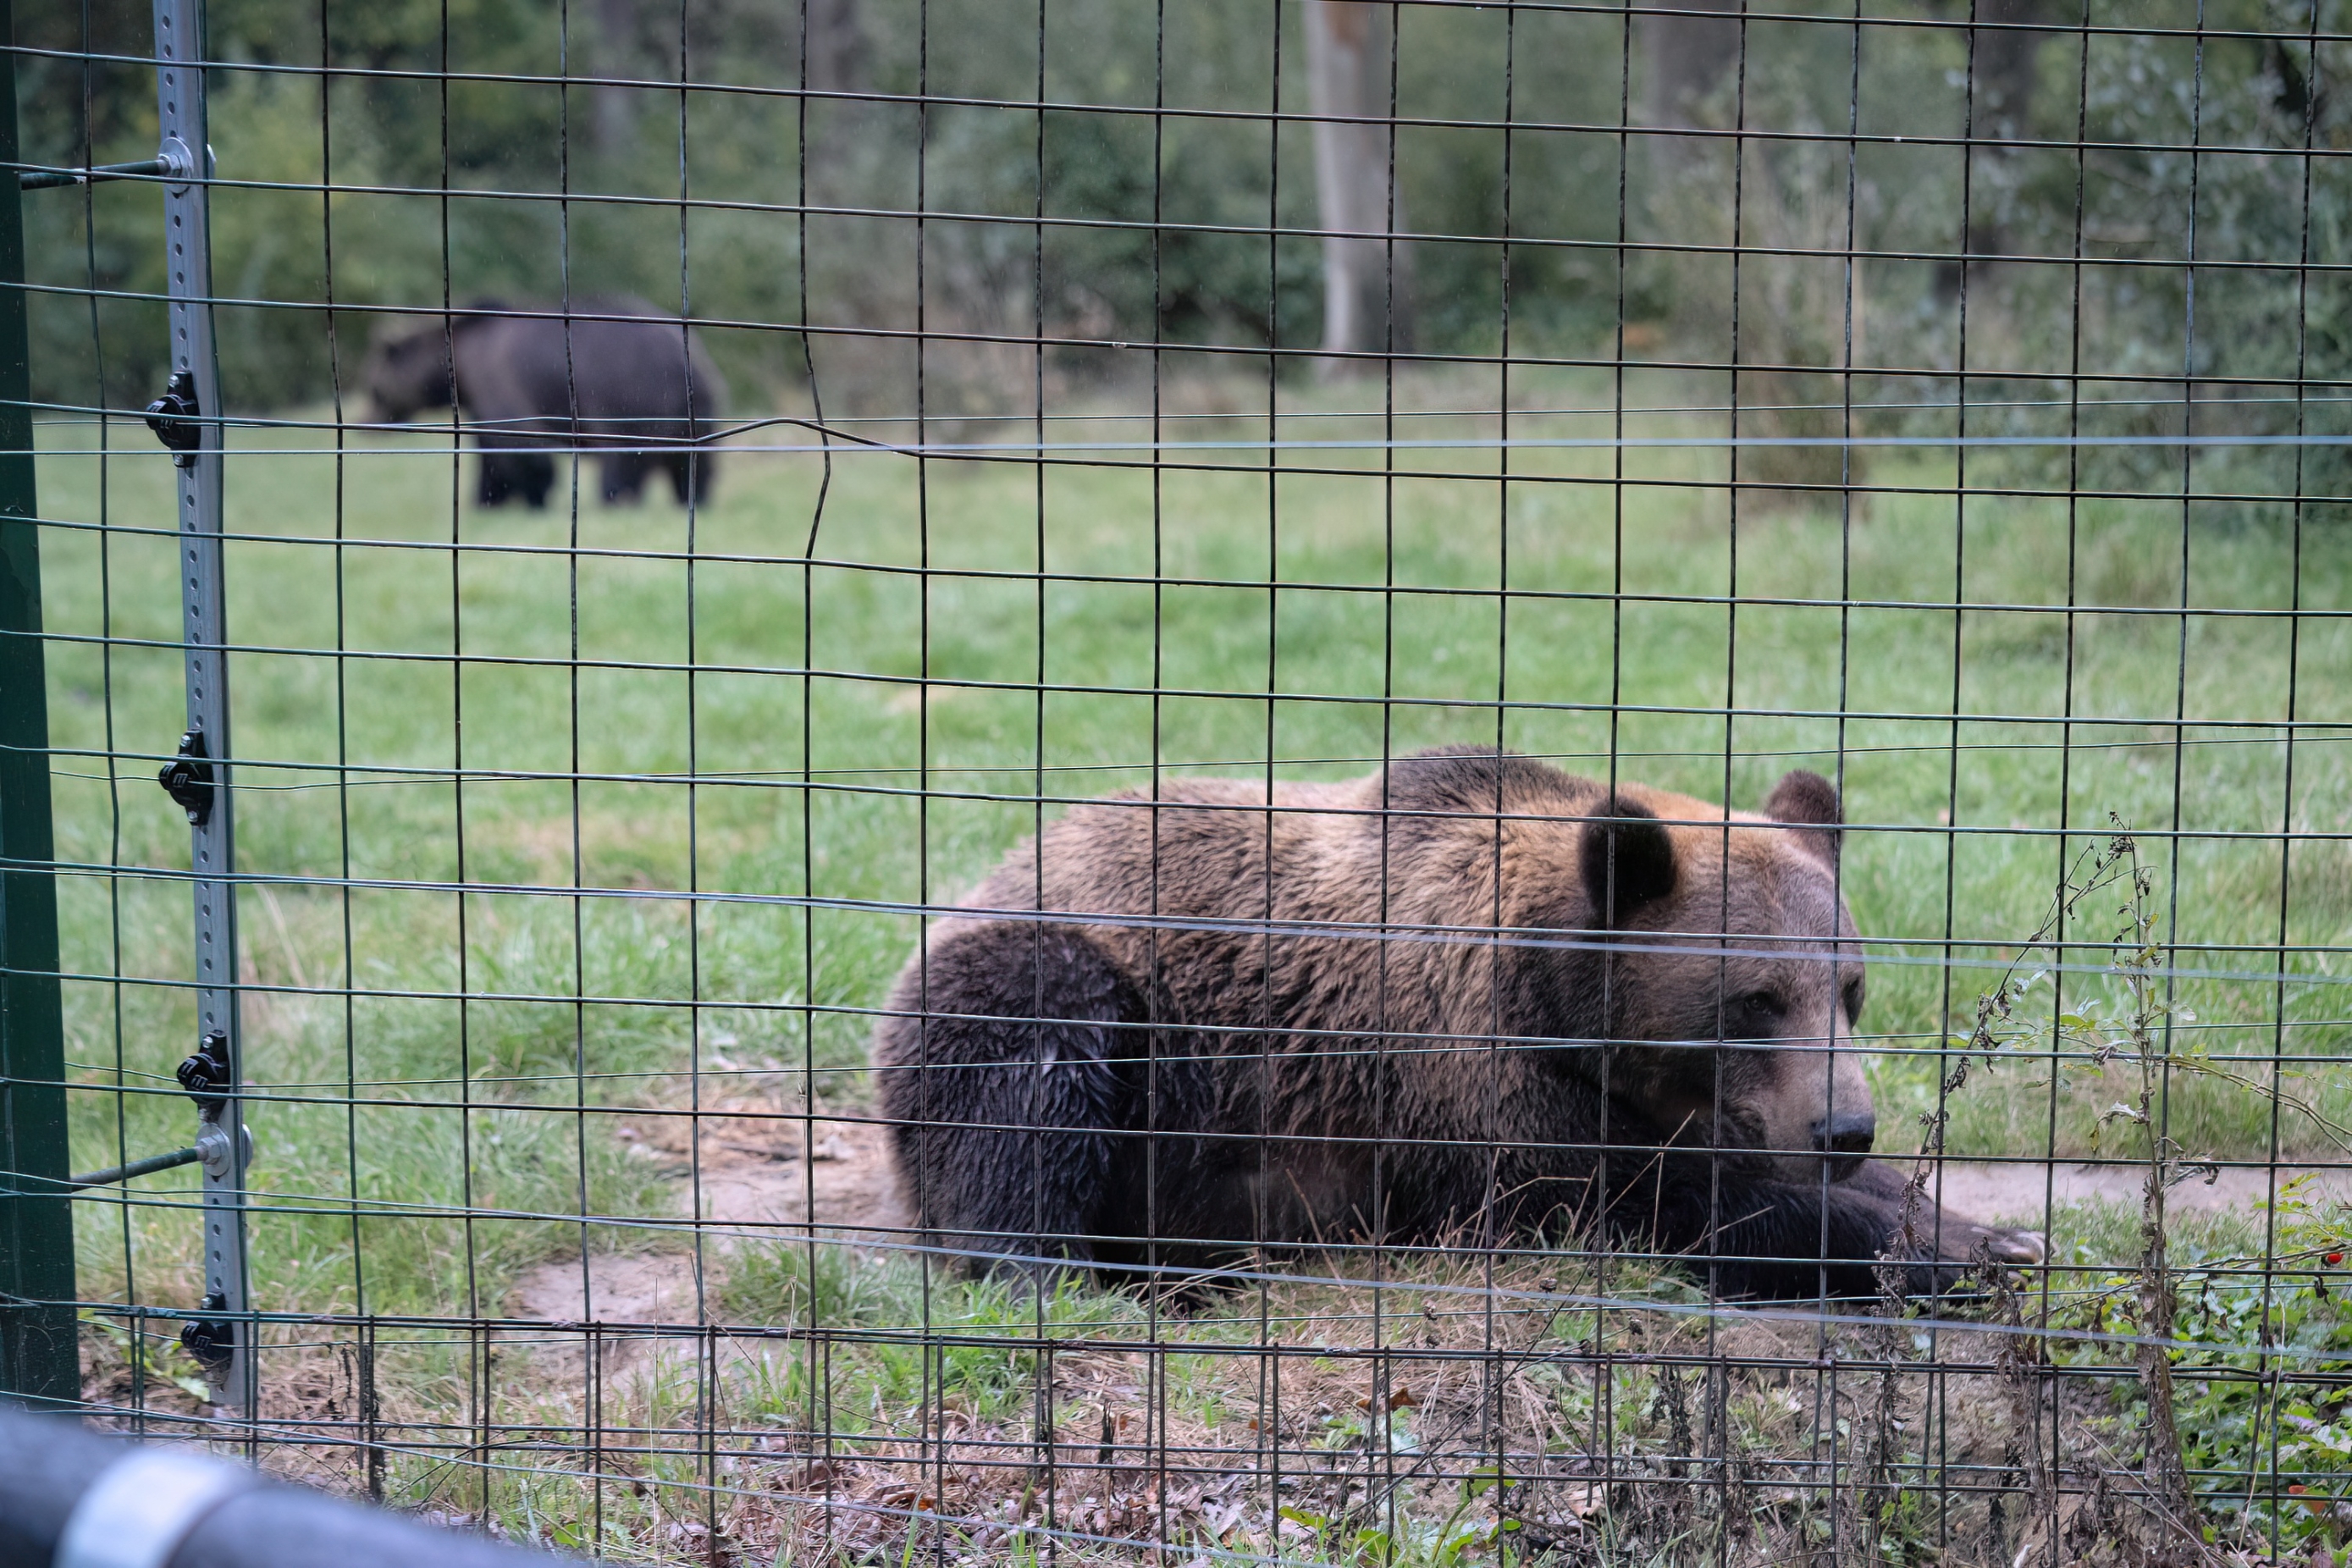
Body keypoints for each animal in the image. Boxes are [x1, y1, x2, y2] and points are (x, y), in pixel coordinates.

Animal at [357, 295, 720, 510]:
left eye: (373, 388)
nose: (364, 424)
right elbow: (489, 452)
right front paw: (488, 498)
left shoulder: (499, 382)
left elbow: (521, 449)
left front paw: (531, 497)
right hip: (697, 409)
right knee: (695, 464)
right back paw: (692, 499)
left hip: (625, 395)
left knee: (621, 458)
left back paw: (614, 499)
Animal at [870, 747, 2041, 1297]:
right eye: (1756, 999)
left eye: (1849, 987)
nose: (1844, 1128)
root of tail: (988, 872)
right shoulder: (1469, 1078)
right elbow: (1653, 1207)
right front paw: (1960, 1250)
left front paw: (1984, 1227)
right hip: (1083, 986)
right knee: (1028, 1083)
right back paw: (1079, 1270)